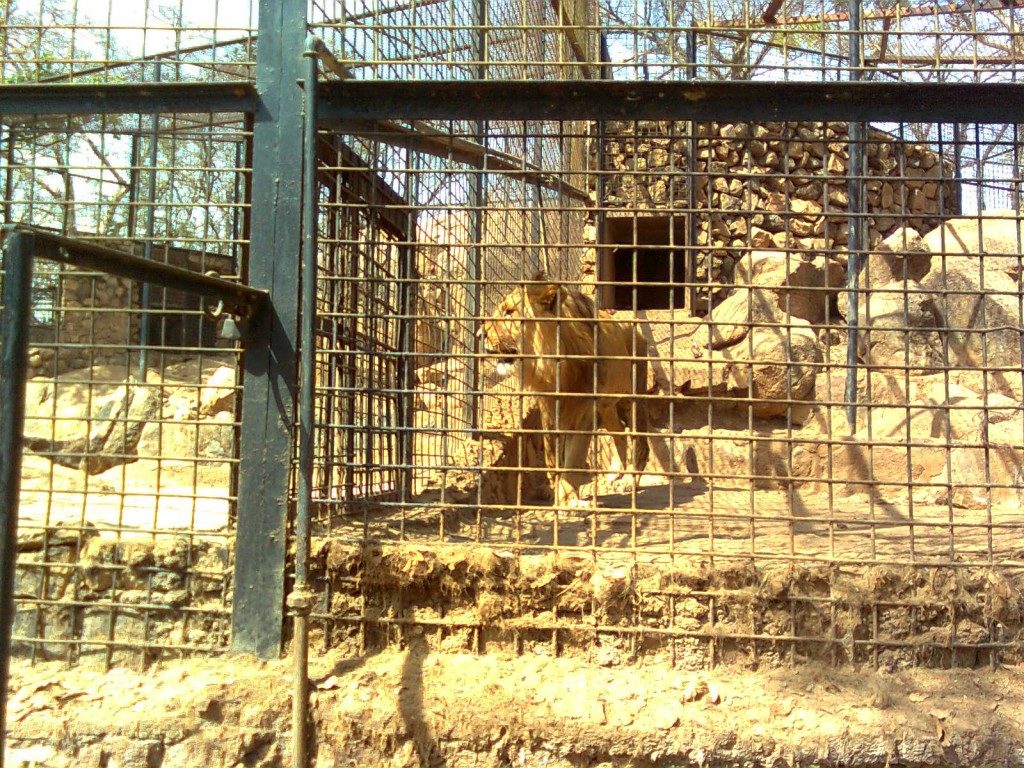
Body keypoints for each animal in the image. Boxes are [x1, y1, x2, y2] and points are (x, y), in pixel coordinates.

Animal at [477, 274, 647, 507]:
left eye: (510, 311)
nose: (478, 335)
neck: (555, 367)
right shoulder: (550, 409)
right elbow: (553, 457)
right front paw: (555, 492)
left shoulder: (584, 412)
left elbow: (573, 457)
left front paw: (569, 499)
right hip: (607, 407)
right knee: (619, 432)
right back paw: (616, 472)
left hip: (631, 399)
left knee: (640, 442)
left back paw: (630, 481)